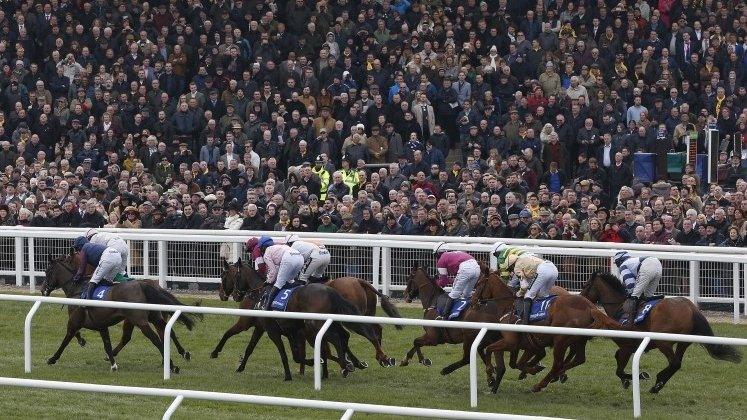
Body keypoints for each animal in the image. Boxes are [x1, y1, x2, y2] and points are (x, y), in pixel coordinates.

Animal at [42, 253, 202, 374]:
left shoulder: (74, 321)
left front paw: (52, 358)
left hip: (140, 320)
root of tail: (143, 284)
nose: (43, 290)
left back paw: (172, 365)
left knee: (155, 339)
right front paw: (113, 363)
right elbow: (106, 343)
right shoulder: (101, 325)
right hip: (152, 317)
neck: (78, 289)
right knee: (166, 332)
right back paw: (180, 356)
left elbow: (66, 339)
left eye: (47, 272)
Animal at [486, 282, 620, 394]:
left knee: (557, 364)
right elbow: (518, 363)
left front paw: (491, 378)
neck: (508, 307)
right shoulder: (532, 346)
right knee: (579, 359)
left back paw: (540, 385)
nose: (480, 301)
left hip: (560, 341)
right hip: (578, 340)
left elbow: (508, 359)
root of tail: (590, 307)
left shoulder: (515, 343)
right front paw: (532, 369)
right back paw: (556, 376)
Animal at [580, 270, 740, 392]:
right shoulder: (629, 347)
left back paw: (657, 383)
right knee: (677, 363)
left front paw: (639, 376)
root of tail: (692, 308)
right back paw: (659, 383)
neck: (619, 306)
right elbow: (617, 361)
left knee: (674, 363)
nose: (580, 298)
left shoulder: (626, 346)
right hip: (683, 342)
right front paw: (627, 380)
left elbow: (619, 369)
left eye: (586, 285)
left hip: (663, 342)